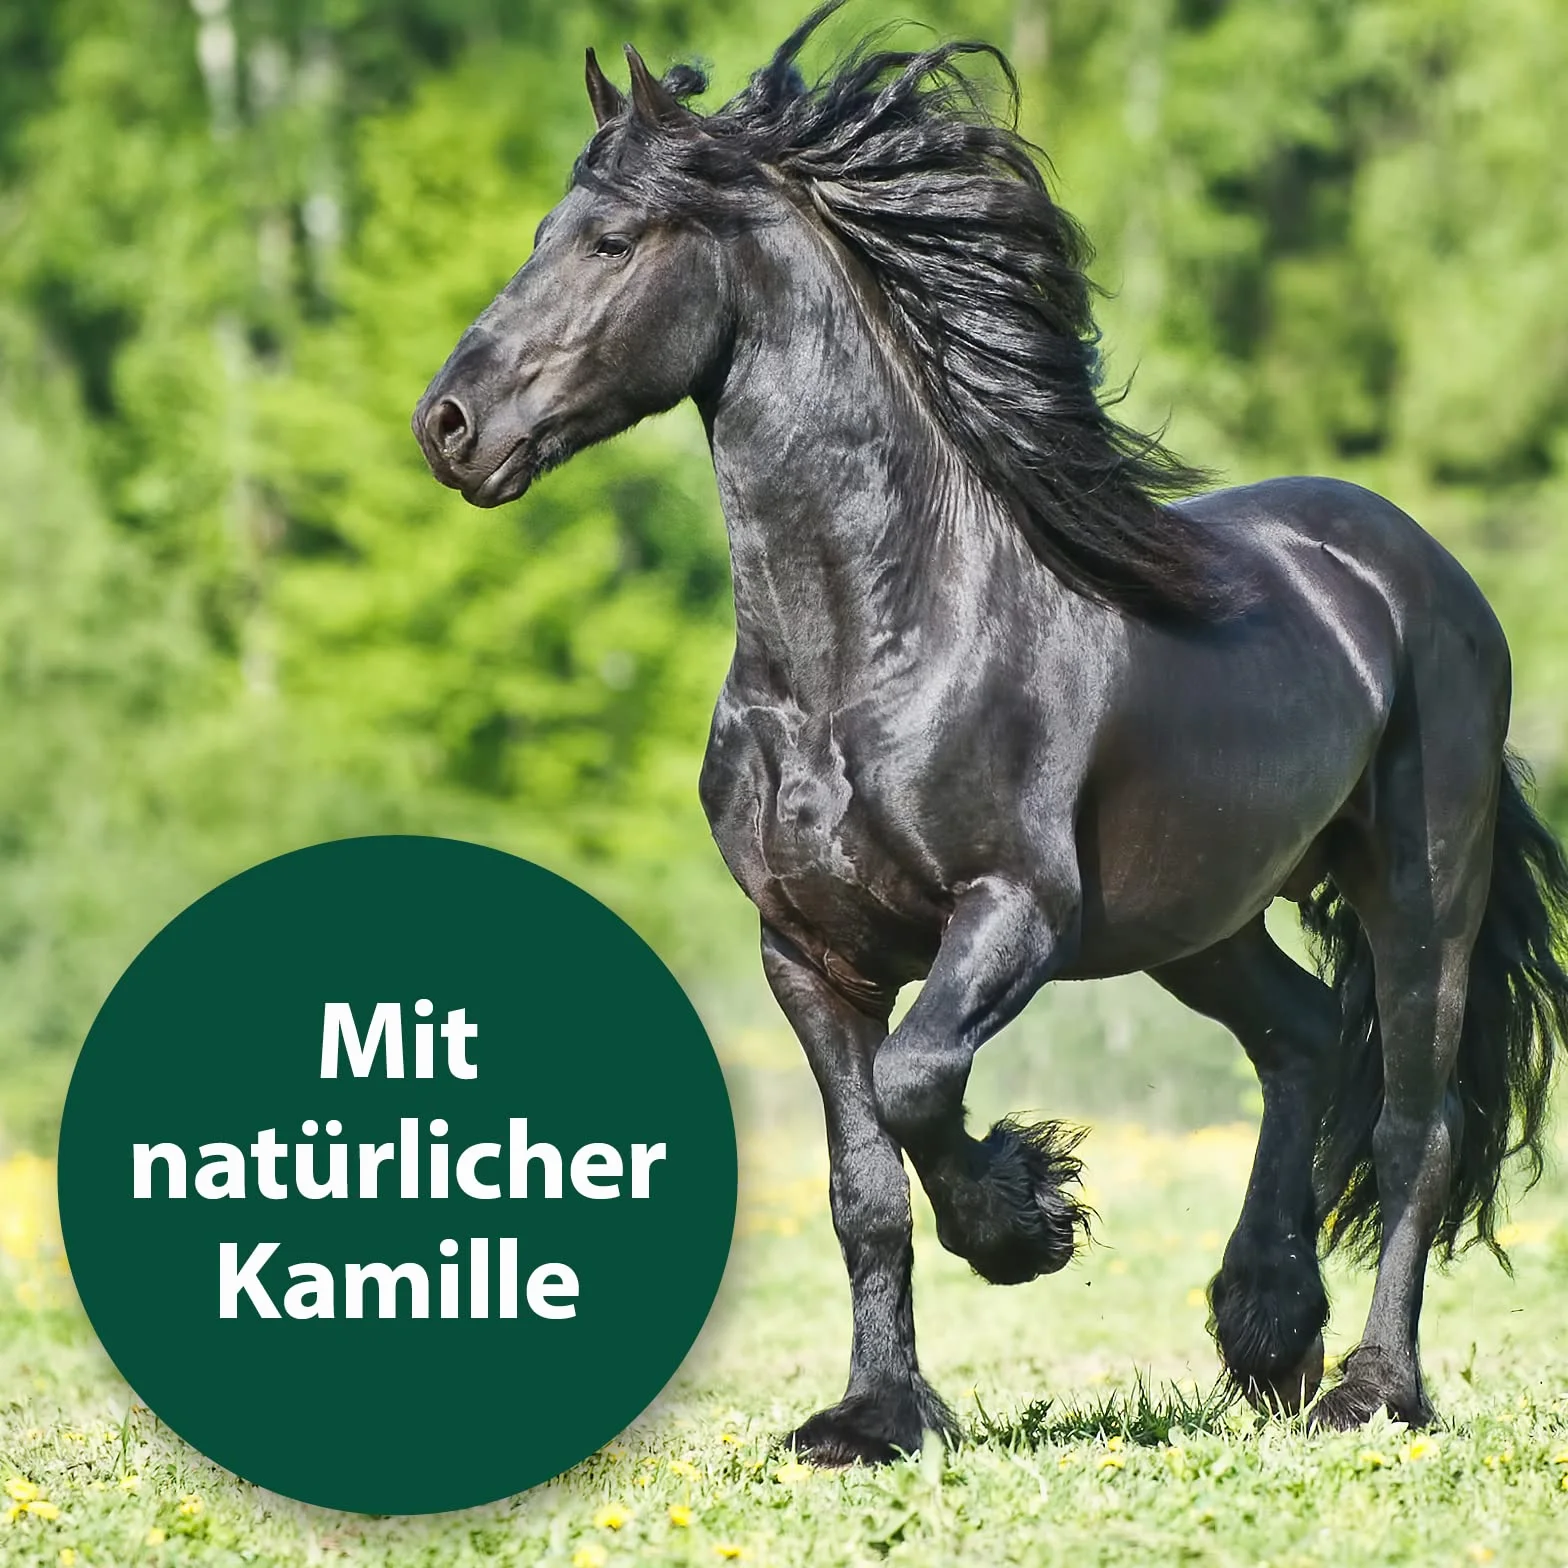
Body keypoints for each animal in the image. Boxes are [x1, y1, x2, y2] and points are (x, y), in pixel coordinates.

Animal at [412, 3, 1568, 1465]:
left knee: (1418, 1121)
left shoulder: (1013, 911)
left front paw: (1027, 1218)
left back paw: (1368, 1387)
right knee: (1302, 1038)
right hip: (1199, 918)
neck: (866, 653)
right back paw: (1263, 1326)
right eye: (542, 233)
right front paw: (871, 1417)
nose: (448, 427)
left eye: (610, 242)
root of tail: (1418, 567)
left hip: (1420, 890)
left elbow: (918, 1085)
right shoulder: (806, 952)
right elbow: (861, 1188)